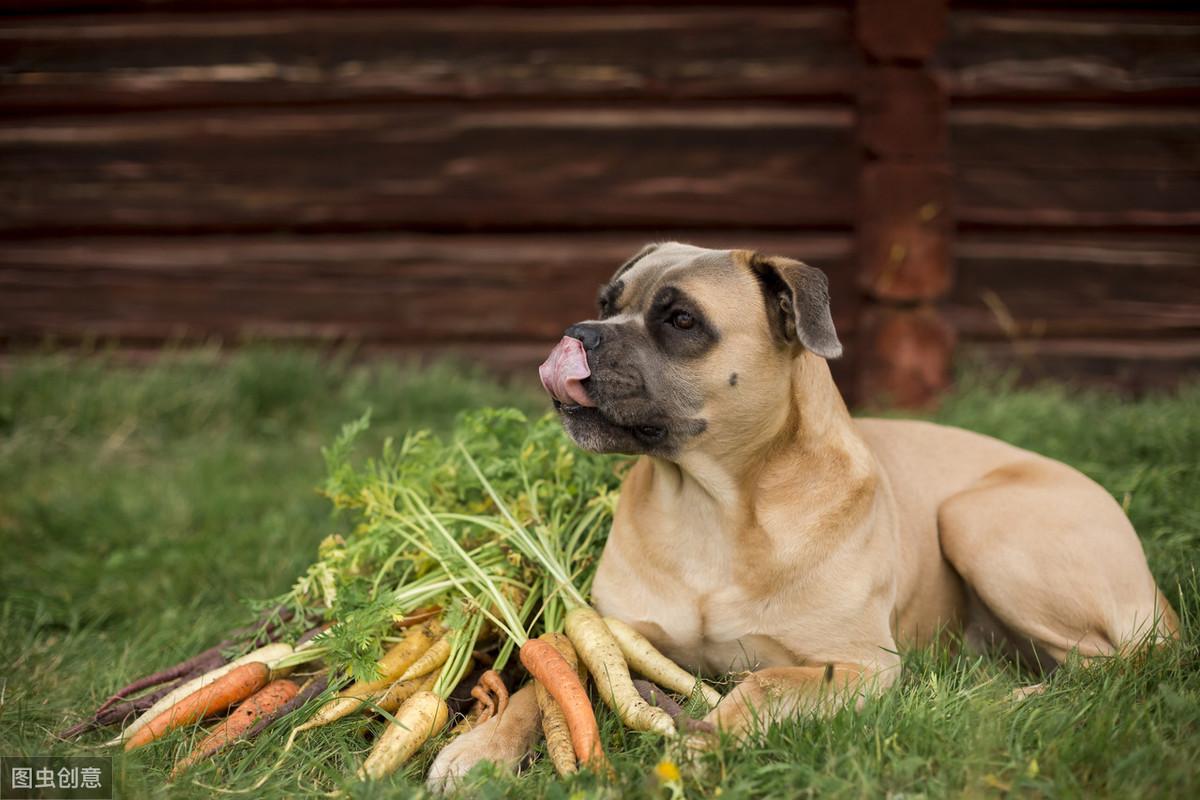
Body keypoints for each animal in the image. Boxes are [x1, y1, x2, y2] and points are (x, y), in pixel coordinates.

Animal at [427, 242, 1176, 786]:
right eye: (607, 303)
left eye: (681, 320)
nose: (579, 332)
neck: (711, 505)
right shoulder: (614, 634)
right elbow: (545, 681)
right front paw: (480, 750)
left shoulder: (856, 668)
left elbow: (761, 686)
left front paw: (706, 746)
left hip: (982, 522)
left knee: (1117, 668)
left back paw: (1012, 701)